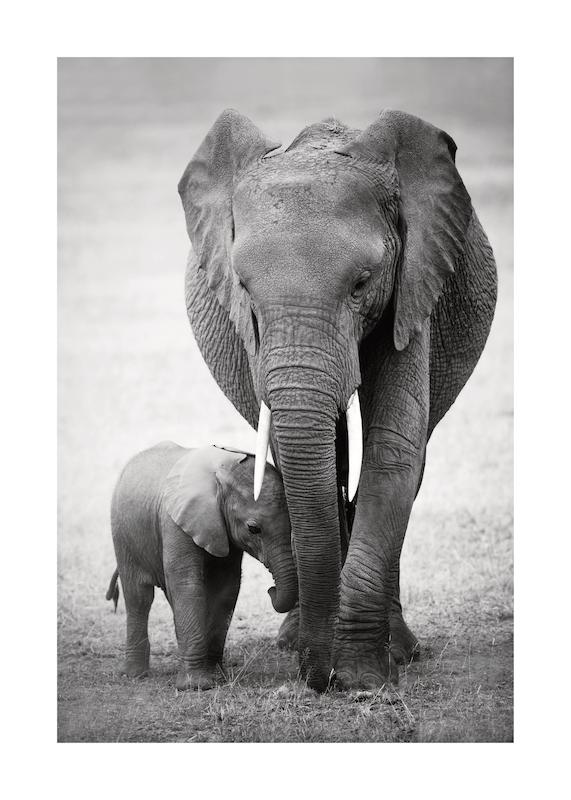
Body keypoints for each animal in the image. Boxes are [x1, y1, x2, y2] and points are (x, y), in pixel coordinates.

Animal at [106, 442, 297, 690]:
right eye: (253, 529)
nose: (271, 590)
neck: (222, 471)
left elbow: (226, 588)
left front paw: (216, 676)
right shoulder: (175, 522)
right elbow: (188, 585)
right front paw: (196, 686)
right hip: (123, 536)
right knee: (138, 597)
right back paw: (135, 675)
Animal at [178, 109, 497, 692]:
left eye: (362, 284)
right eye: (243, 288)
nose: (316, 677)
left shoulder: (413, 287)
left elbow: (393, 450)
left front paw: (363, 678)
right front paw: (330, 663)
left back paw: (399, 650)